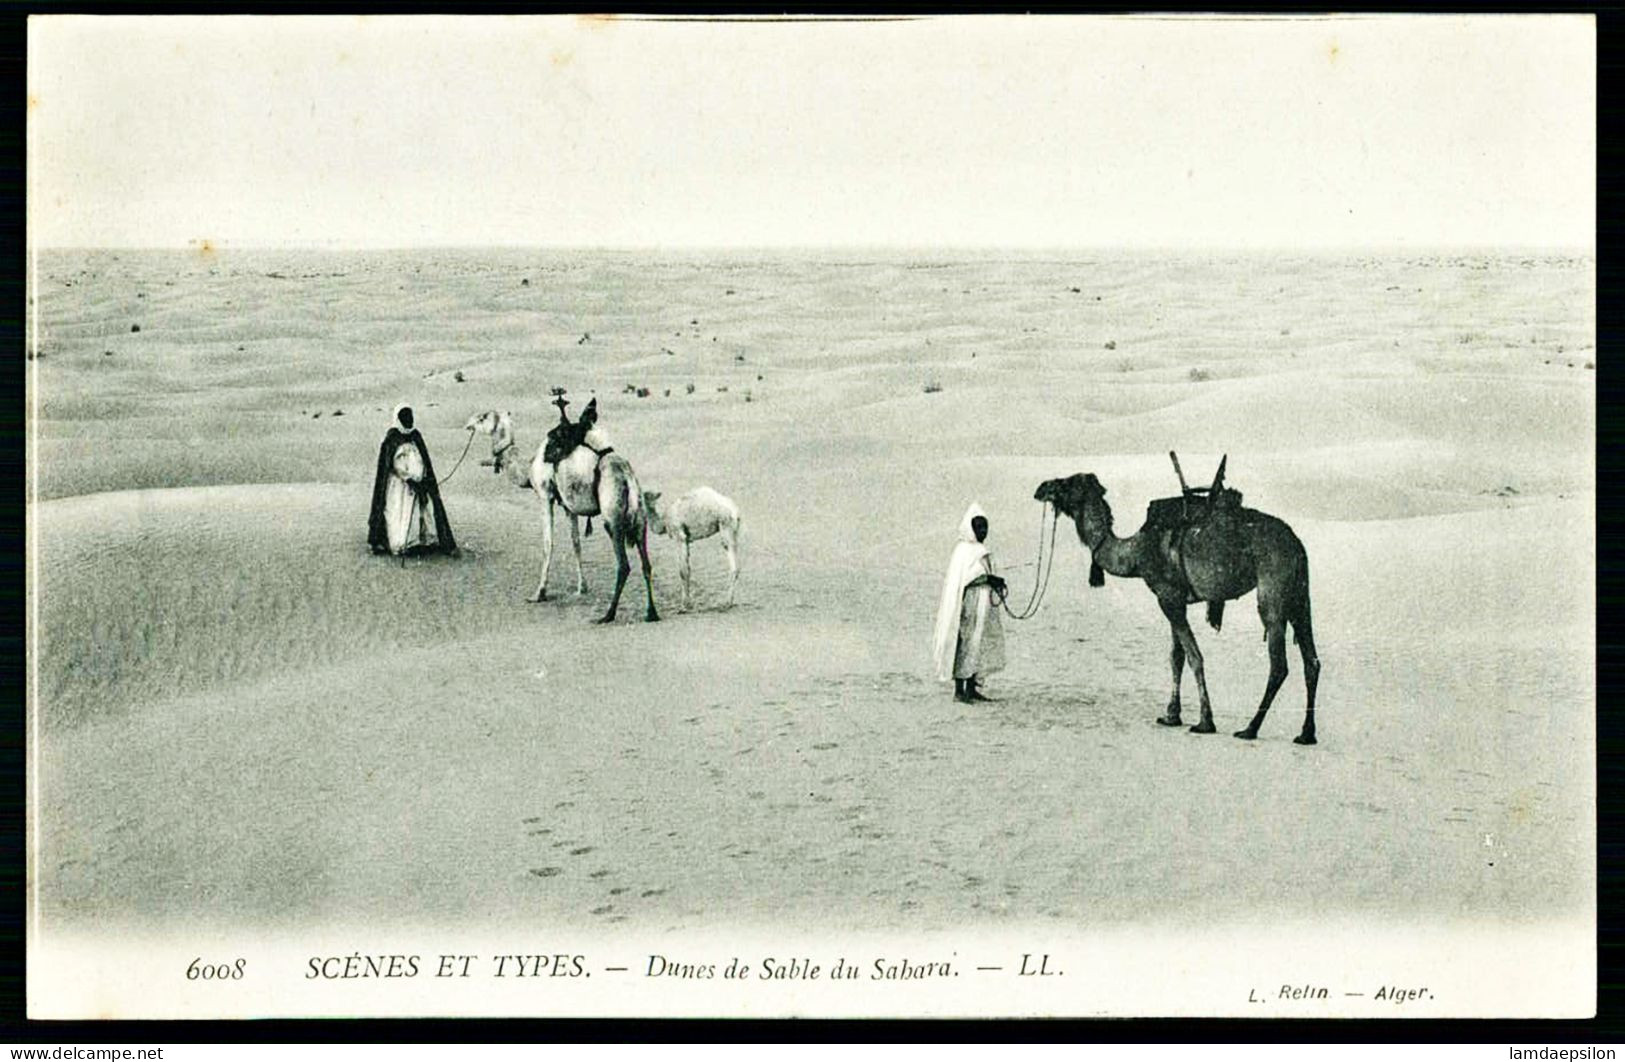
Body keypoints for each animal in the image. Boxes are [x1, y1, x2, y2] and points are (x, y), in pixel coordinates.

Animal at [468, 404, 656, 626]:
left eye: (482, 417)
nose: (468, 424)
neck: (528, 468)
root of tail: (627, 477)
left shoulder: (544, 495)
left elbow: (548, 544)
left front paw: (539, 593)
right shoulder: (568, 505)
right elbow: (576, 543)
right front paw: (581, 588)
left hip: (613, 517)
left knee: (624, 565)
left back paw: (608, 615)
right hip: (640, 517)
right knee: (646, 564)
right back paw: (651, 613)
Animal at [1040, 470, 1319, 743]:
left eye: (1068, 482)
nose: (1042, 488)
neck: (1135, 552)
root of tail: (1297, 544)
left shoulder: (1167, 597)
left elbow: (1194, 657)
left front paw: (1205, 722)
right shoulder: (1175, 599)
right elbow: (1177, 657)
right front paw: (1171, 715)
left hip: (1273, 587)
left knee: (1279, 663)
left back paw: (1250, 729)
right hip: (1299, 595)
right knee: (1312, 660)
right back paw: (1306, 734)